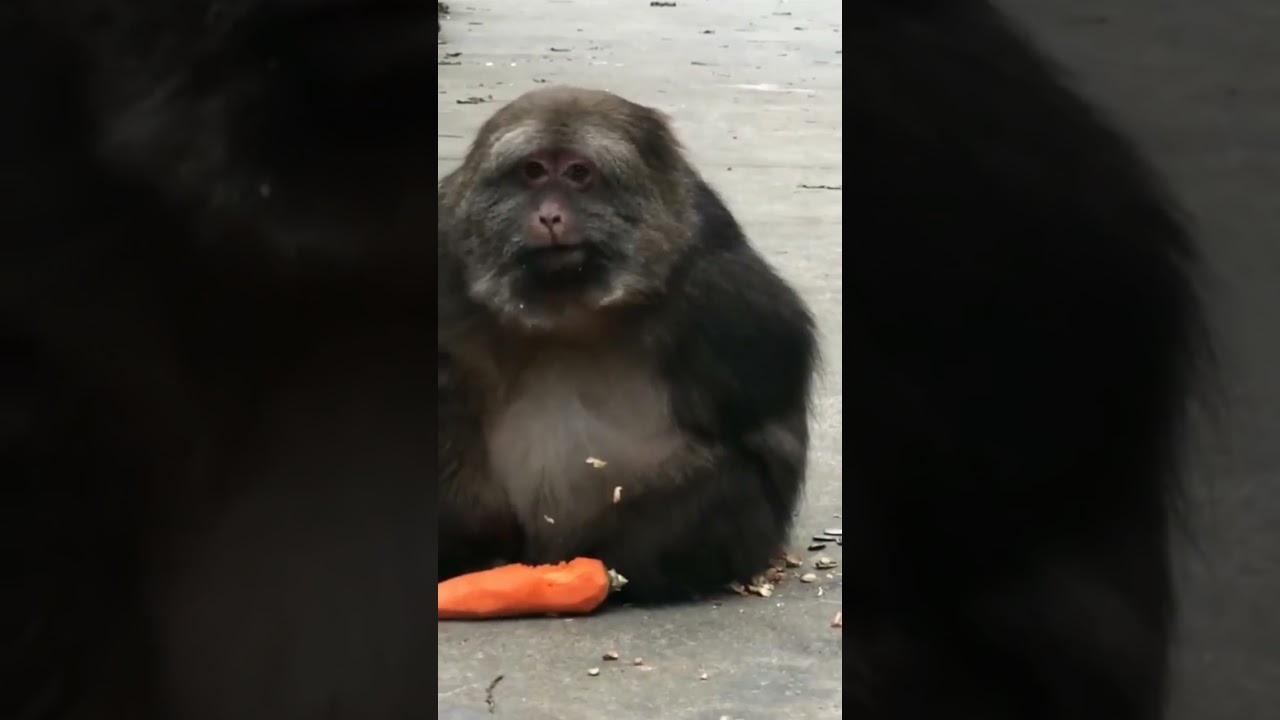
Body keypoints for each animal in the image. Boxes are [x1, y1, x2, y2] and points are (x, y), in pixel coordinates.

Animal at [436, 85, 821, 600]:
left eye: (579, 174)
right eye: (533, 171)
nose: (549, 215)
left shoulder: (715, 269)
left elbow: (770, 398)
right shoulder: (444, 244)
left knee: (732, 481)